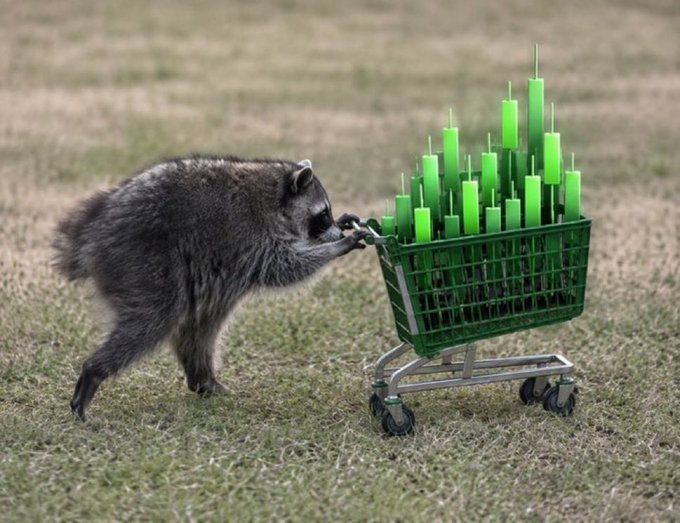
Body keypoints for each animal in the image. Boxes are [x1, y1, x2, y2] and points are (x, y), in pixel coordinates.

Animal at [53, 156, 367, 420]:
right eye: (322, 213)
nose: (335, 231)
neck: (275, 191)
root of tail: (93, 228)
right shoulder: (253, 234)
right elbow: (284, 268)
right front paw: (337, 246)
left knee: (200, 327)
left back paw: (203, 379)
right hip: (143, 259)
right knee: (153, 320)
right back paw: (94, 371)